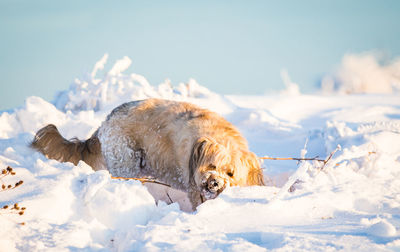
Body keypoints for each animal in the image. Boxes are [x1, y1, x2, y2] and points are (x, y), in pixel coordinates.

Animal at [31, 98, 266, 211]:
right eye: (212, 167)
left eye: (231, 173)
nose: (213, 183)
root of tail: (103, 124)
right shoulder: (193, 186)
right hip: (127, 161)